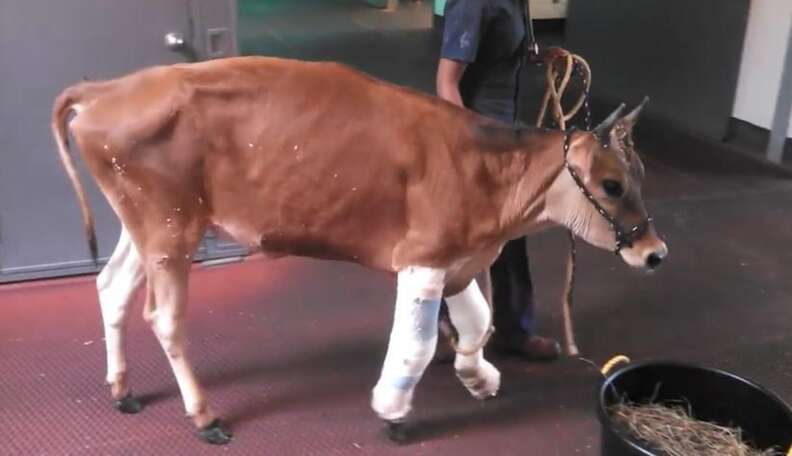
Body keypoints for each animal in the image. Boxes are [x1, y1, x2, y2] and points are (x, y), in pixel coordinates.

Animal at [51, 56, 667, 444]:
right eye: (612, 184)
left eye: (640, 174)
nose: (655, 253)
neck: (488, 179)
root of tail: (105, 89)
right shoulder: (422, 257)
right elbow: (417, 345)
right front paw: (393, 412)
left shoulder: (458, 260)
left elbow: (476, 322)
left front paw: (478, 377)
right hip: (170, 228)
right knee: (164, 317)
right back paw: (204, 417)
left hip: (145, 227)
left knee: (111, 286)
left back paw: (122, 389)